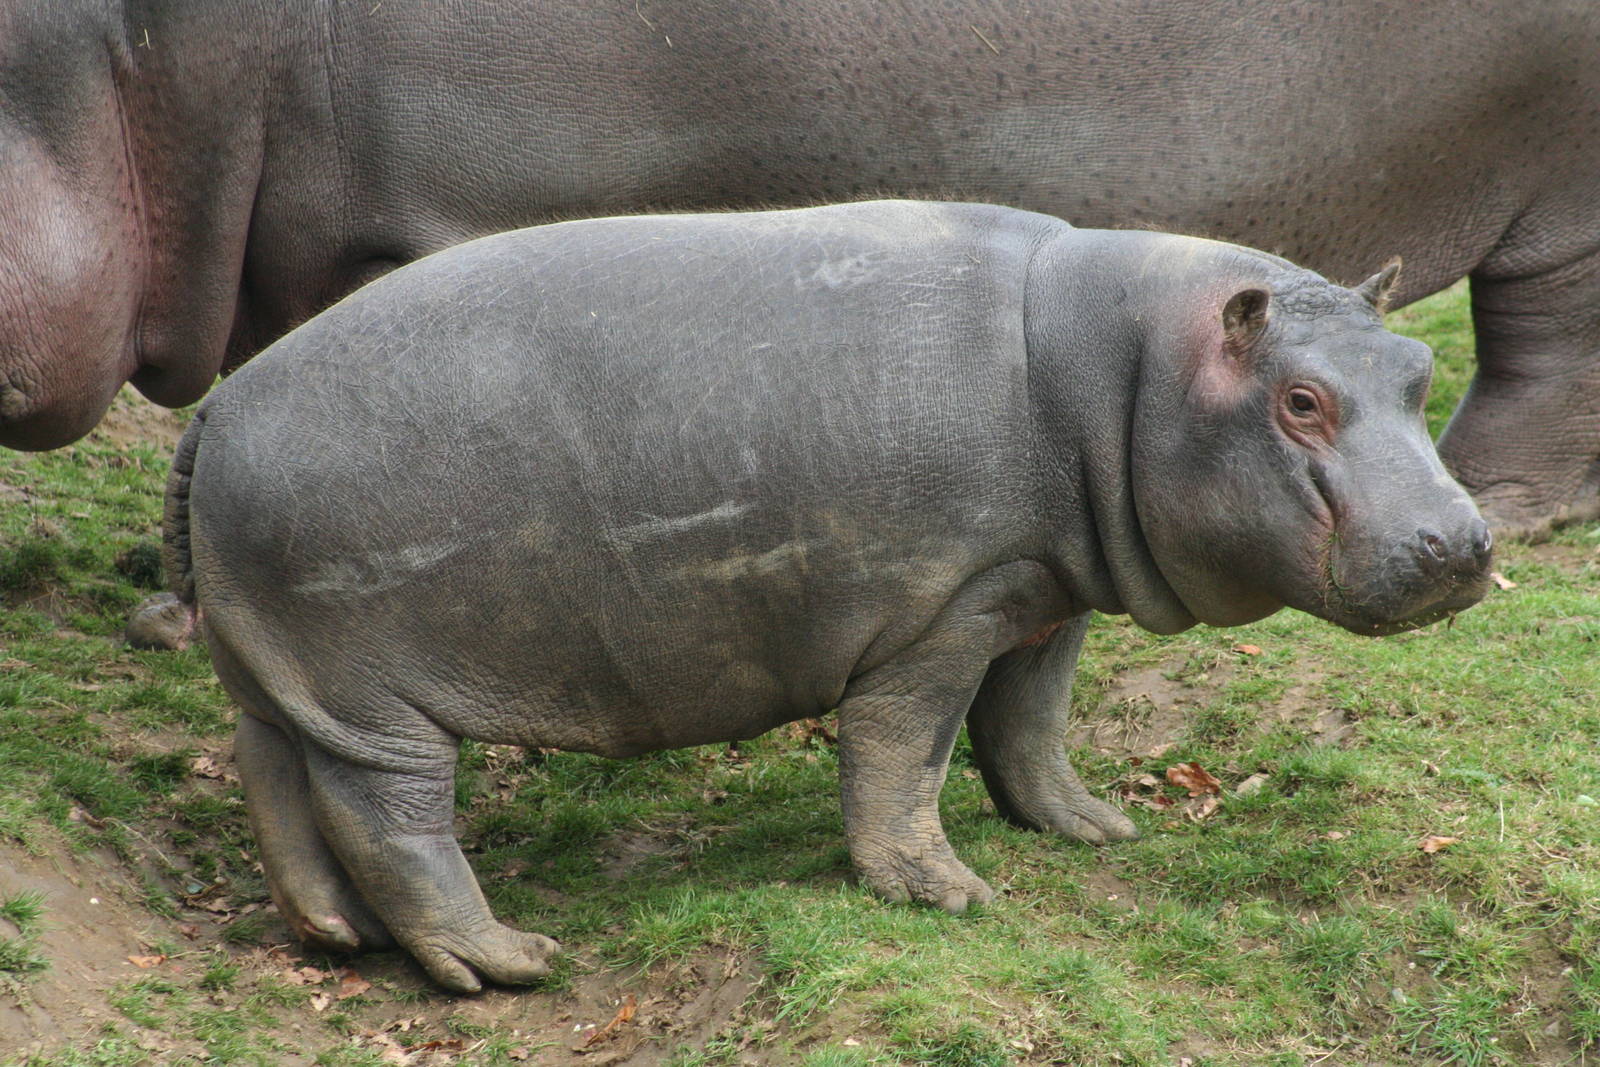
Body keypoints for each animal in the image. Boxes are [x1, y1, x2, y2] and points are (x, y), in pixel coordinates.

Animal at [163, 201, 1492, 991]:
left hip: (276, 663)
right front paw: (945, 892)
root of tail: (220, 404)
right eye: (1301, 399)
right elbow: (905, 751)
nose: (1465, 542)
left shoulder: (1044, 590)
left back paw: (334, 937)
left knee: (275, 775)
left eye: (1420, 365)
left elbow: (1031, 723)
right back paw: (505, 960)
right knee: (390, 815)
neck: (1123, 366)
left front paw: (1091, 826)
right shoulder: (943, 608)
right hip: (367, 684)